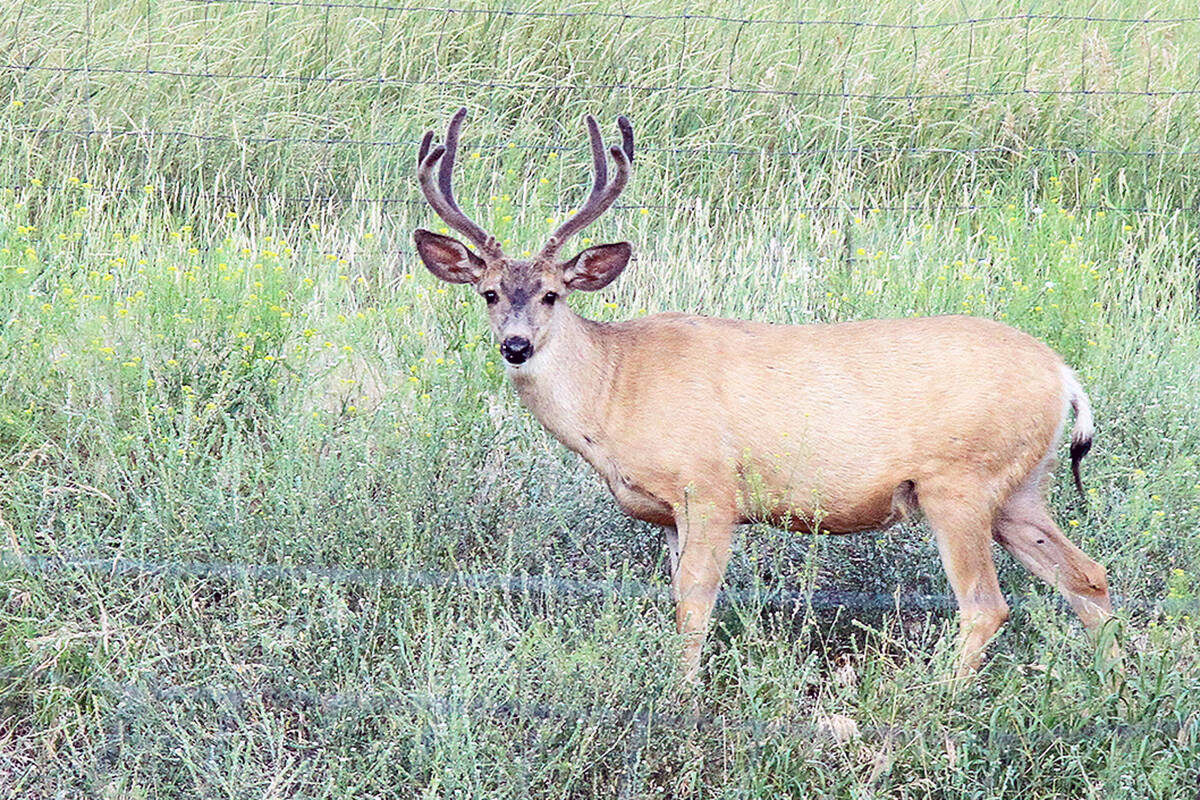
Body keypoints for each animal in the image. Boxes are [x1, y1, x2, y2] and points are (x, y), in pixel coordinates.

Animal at [412, 106, 1113, 681]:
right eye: (489, 294)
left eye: (553, 294)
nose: (516, 346)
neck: (615, 389)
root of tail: (1063, 375)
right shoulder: (671, 513)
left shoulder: (708, 489)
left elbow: (693, 603)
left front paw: (682, 699)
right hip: (1019, 490)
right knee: (1089, 576)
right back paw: (1117, 690)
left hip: (961, 483)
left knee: (987, 606)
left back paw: (931, 703)